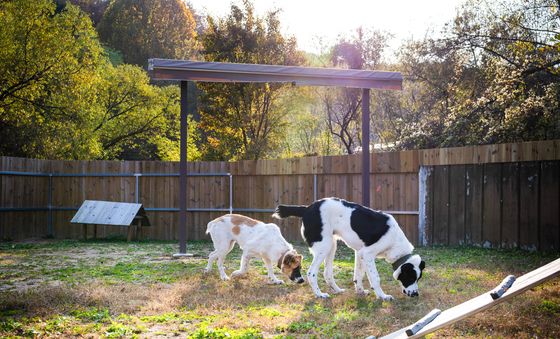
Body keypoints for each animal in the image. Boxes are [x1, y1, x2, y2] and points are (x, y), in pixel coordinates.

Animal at [274, 199, 426, 300]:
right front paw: (382, 296)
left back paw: (337, 290)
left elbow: (358, 275)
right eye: (410, 277)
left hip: (331, 245)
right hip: (324, 246)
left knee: (327, 273)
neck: (395, 240)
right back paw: (319, 294)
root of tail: (306, 208)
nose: (416, 294)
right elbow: (375, 278)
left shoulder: (360, 253)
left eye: (418, 278)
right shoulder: (368, 254)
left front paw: (360, 292)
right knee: (311, 273)